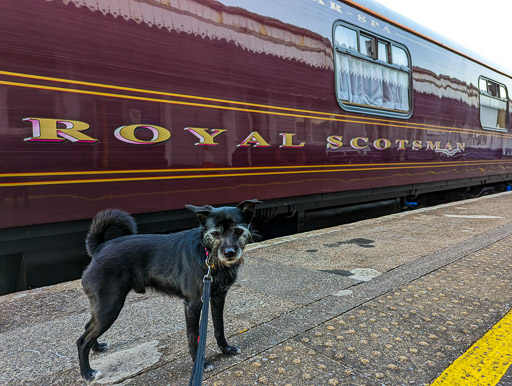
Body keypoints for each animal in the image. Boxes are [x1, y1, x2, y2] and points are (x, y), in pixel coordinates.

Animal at [77, 201, 260, 382]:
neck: (207, 254)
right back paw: (88, 373)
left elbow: (219, 327)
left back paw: (97, 347)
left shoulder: (218, 298)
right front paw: (200, 363)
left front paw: (226, 349)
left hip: (104, 308)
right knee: (82, 341)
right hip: (109, 307)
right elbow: (193, 337)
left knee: (87, 327)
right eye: (215, 233)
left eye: (238, 231)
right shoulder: (193, 305)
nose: (229, 253)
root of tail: (99, 248)